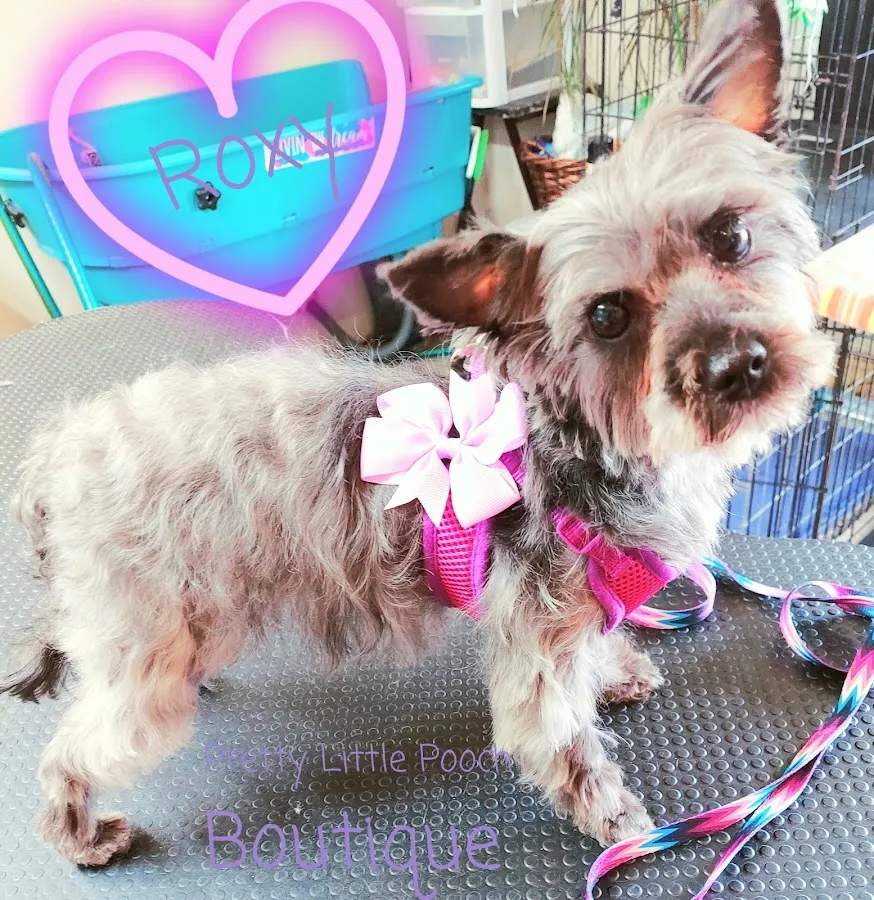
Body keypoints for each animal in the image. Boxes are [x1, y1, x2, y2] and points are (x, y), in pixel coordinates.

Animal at [1, 0, 836, 868]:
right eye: (608, 317)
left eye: (730, 237)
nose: (734, 365)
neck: (591, 442)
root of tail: (58, 453)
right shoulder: (538, 644)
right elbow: (562, 741)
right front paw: (616, 820)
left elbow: (601, 646)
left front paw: (618, 672)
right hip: (141, 659)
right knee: (73, 749)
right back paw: (79, 833)